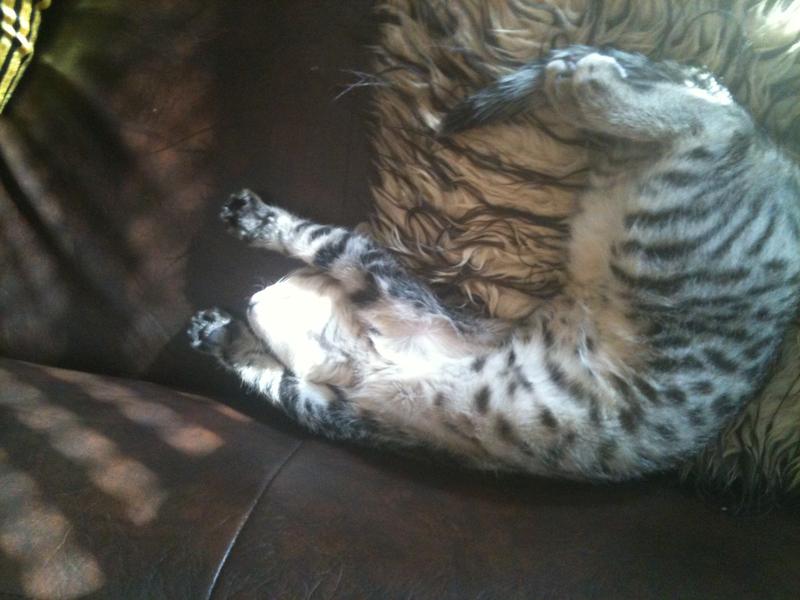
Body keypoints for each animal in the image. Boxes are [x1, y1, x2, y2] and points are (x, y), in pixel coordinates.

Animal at [188, 46, 800, 481]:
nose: (254, 298)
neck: (360, 357)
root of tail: (778, 157)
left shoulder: (385, 281)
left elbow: (320, 240)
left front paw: (256, 223)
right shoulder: (331, 410)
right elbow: (263, 376)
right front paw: (219, 333)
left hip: (660, 228)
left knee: (713, 123)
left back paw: (587, 81)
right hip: (614, 191)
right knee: (693, 112)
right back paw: (573, 87)